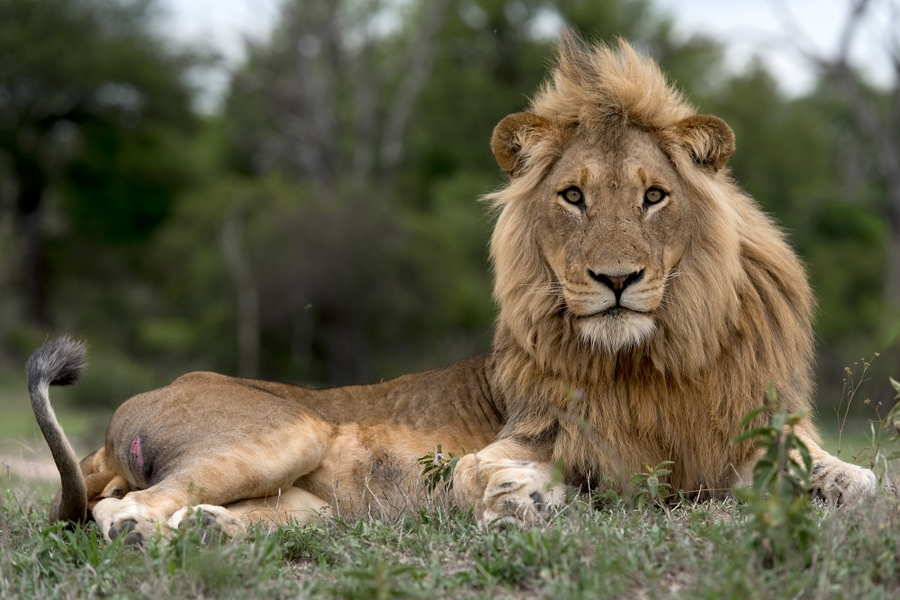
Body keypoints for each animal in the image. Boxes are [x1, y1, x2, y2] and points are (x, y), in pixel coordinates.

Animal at [29, 34, 880, 544]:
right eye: (573, 196)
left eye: (653, 196)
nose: (616, 280)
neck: (656, 360)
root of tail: (119, 422)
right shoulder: (533, 437)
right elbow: (486, 471)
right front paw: (522, 499)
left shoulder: (758, 427)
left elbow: (863, 479)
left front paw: (840, 489)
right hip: (285, 432)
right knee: (116, 510)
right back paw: (148, 530)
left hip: (304, 503)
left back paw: (208, 529)